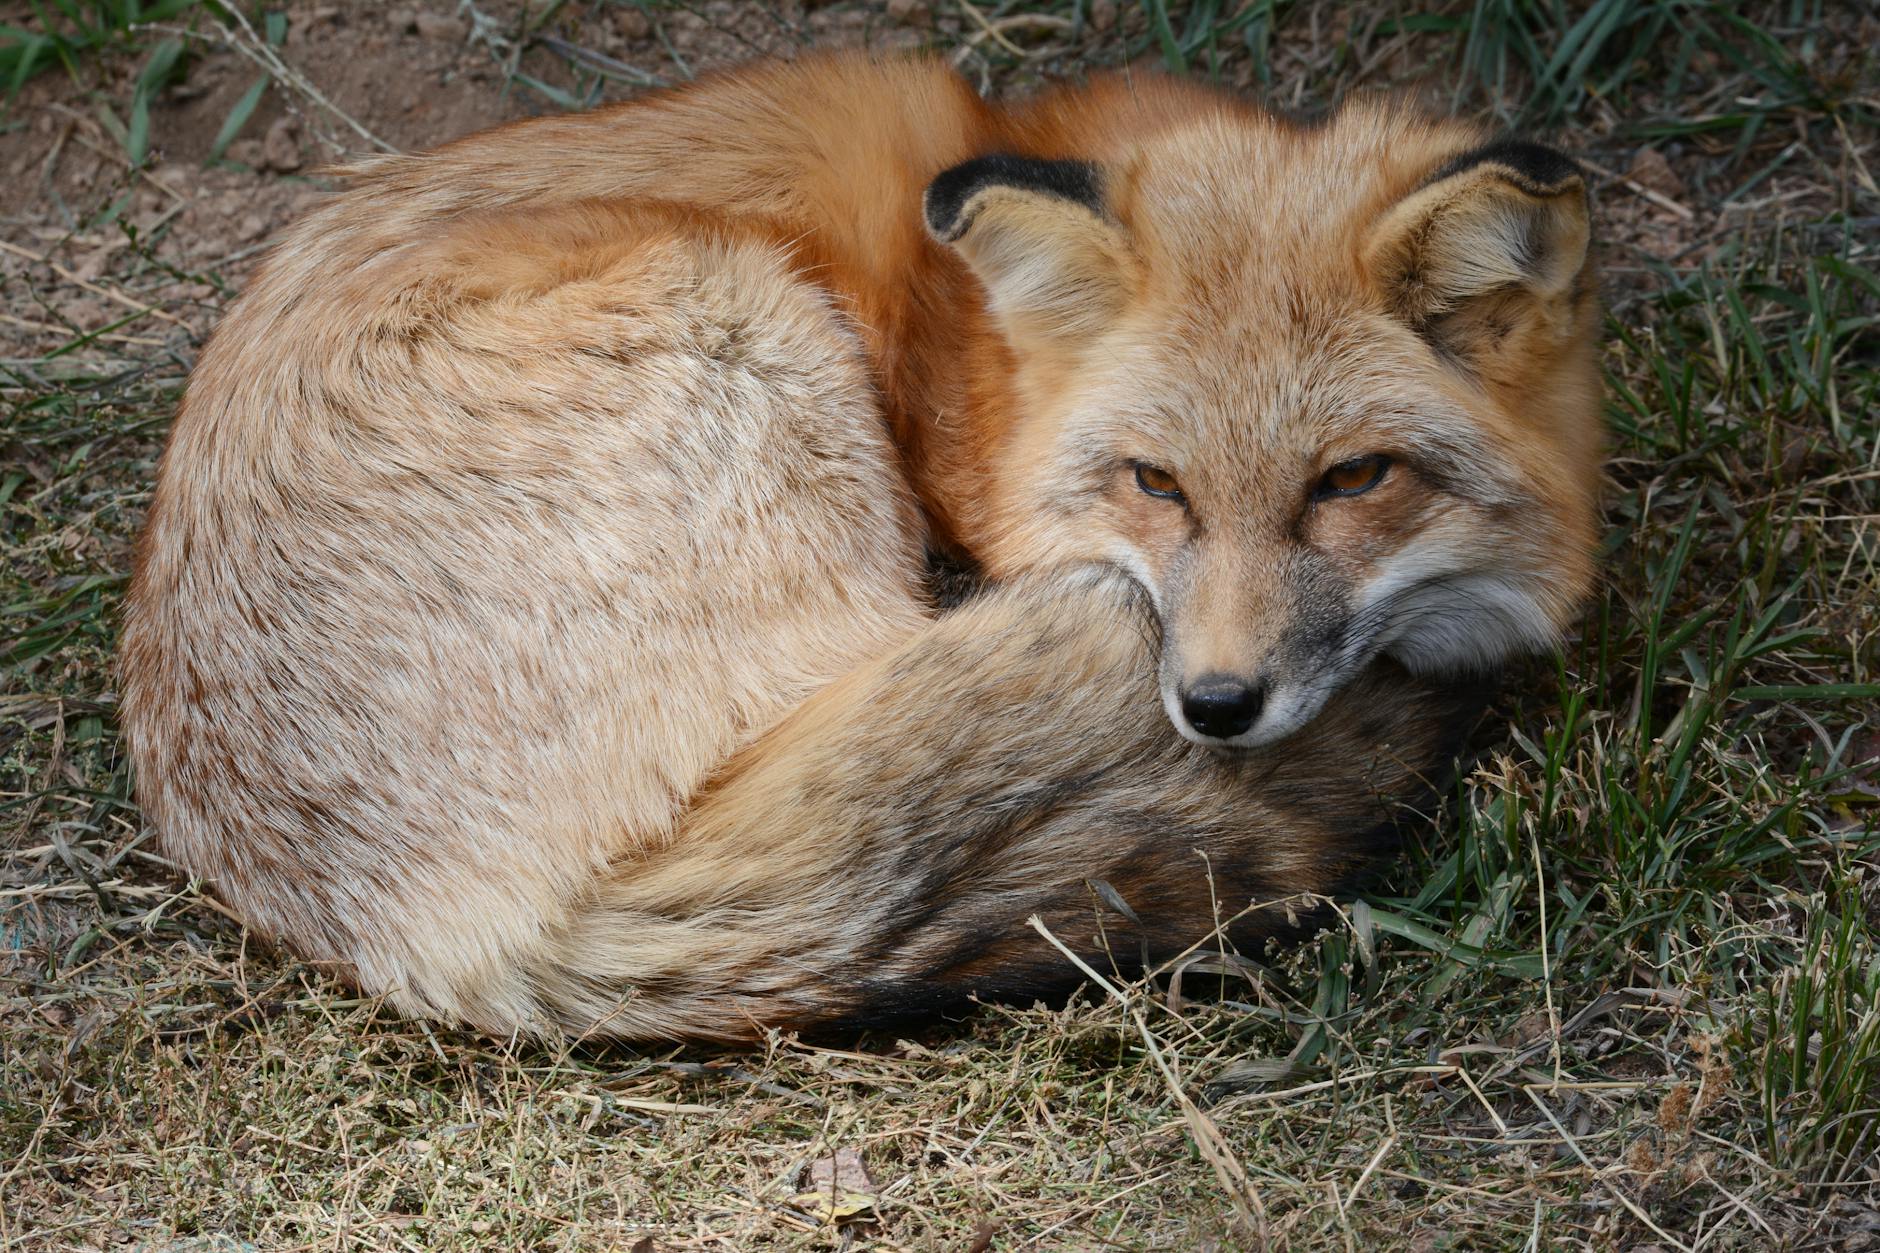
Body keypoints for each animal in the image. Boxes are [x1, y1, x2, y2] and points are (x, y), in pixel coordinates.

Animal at [118, 54, 1603, 1043]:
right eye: (1155, 484)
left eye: (1351, 479)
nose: (1216, 705)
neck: (973, 345)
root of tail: (458, 937)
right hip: (753, 329)